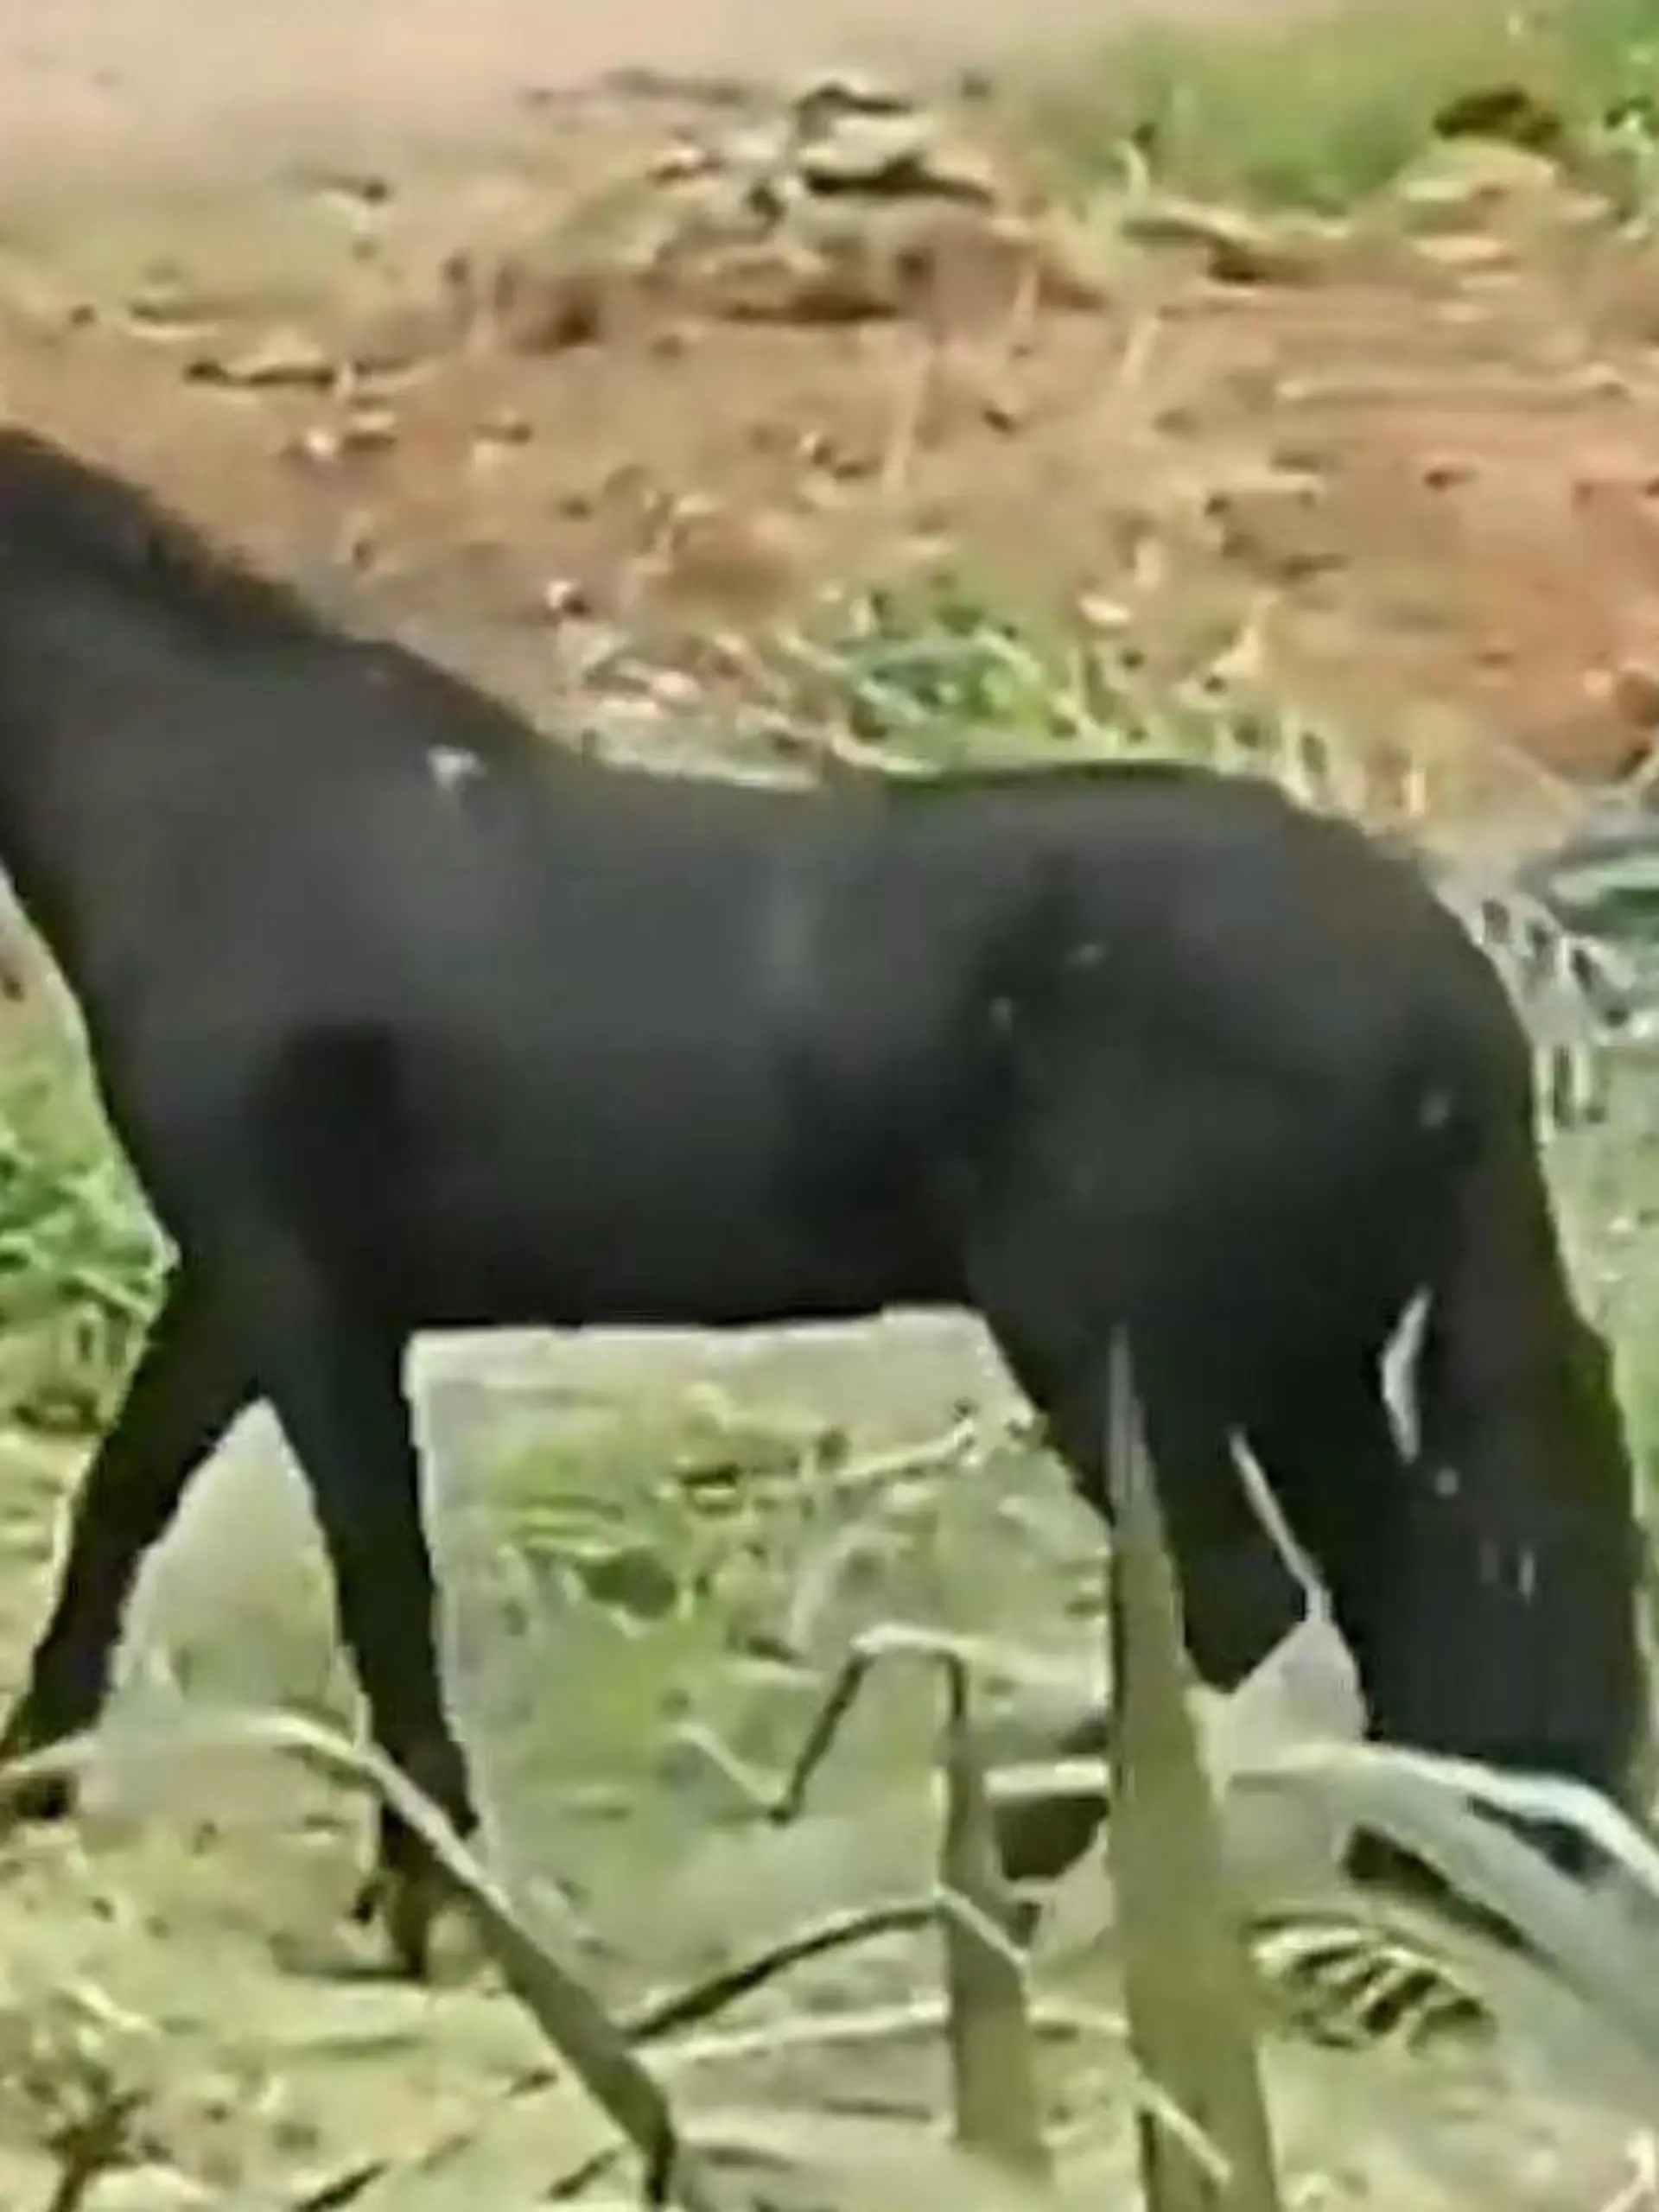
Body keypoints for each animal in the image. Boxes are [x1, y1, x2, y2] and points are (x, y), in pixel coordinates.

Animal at [0, 423, 1642, 1977]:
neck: (215, 802)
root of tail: (1459, 997)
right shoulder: (236, 1278)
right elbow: (126, 1503)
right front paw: (35, 1782)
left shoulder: (306, 1288)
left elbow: (377, 1586)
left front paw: (433, 1912)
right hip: (1299, 1371)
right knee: (1394, 1604)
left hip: (1117, 1345)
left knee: (1235, 1609)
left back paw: (974, 1883)